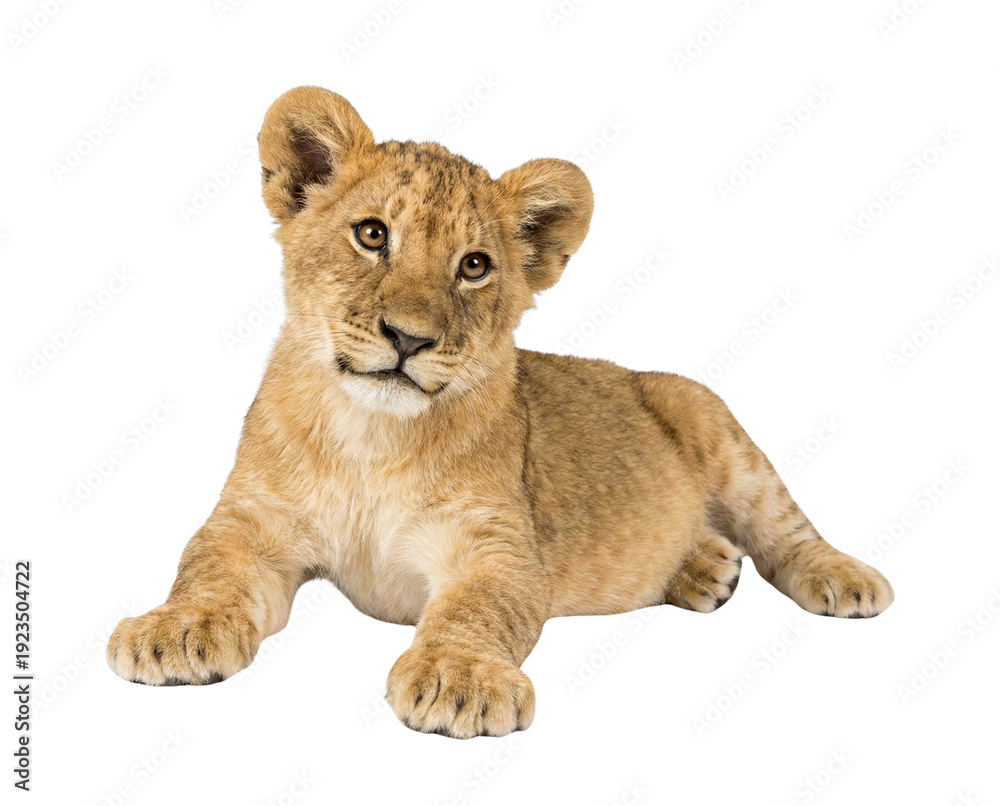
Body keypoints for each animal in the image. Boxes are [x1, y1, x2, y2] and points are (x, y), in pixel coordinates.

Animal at [107, 86, 893, 738]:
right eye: (372, 235)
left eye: (474, 266)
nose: (409, 337)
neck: (370, 437)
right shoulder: (251, 523)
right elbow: (207, 569)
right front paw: (173, 631)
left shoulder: (499, 544)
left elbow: (478, 609)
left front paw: (459, 682)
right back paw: (705, 568)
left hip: (709, 416)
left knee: (785, 527)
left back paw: (844, 578)